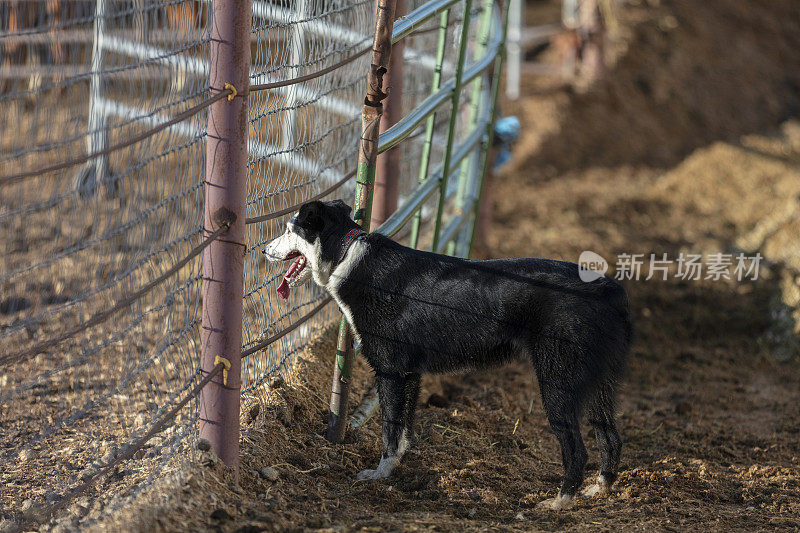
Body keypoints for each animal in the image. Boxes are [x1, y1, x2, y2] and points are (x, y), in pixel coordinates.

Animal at [262, 198, 632, 508]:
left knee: (577, 450)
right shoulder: (410, 374)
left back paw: (559, 502)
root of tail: (608, 288)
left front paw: (379, 475)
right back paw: (599, 488)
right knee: (610, 438)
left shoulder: (390, 372)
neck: (346, 255)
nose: (264, 250)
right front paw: (396, 467)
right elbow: (403, 433)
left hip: (558, 385)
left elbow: (389, 429)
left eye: (289, 229)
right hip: (598, 387)